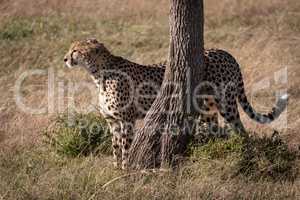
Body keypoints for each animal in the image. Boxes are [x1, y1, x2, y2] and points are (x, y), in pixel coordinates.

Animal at [63, 38, 288, 169]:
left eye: (75, 51)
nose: (65, 58)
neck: (98, 74)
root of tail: (225, 52)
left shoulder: (126, 121)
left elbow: (126, 149)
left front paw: (125, 174)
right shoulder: (113, 121)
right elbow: (115, 148)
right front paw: (115, 171)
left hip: (227, 103)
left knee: (240, 129)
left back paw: (245, 156)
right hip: (206, 108)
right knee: (215, 129)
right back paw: (213, 153)